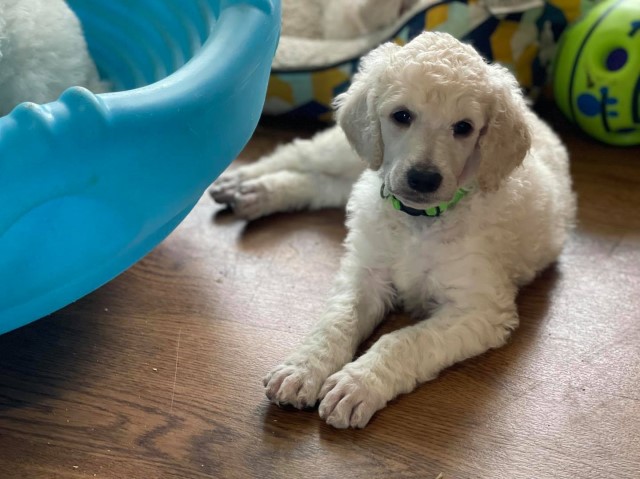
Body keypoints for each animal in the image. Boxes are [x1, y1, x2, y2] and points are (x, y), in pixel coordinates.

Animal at [210, 31, 576, 430]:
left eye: (464, 127)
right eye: (402, 116)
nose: (424, 179)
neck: (418, 220)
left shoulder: (479, 308)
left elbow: (403, 340)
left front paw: (357, 384)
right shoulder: (365, 275)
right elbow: (337, 321)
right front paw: (303, 367)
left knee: (315, 184)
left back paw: (255, 194)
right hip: (348, 152)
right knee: (296, 155)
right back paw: (240, 182)